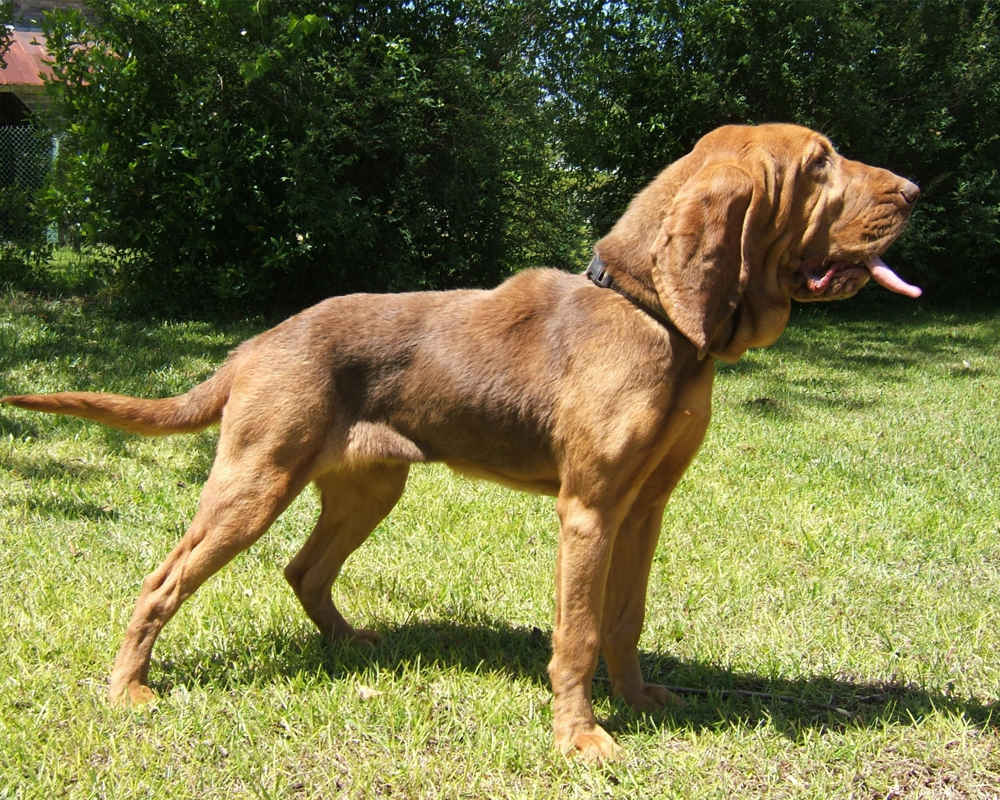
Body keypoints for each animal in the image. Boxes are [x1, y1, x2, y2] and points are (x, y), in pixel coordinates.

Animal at [1, 123, 920, 756]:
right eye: (820, 164)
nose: (914, 190)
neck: (653, 314)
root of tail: (252, 347)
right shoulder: (588, 510)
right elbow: (578, 633)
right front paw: (579, 737)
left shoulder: (645, 508)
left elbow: (624, 619)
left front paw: (640, 701)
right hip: (253, 483)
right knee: (163, 581)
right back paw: (129, 688)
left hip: (368, 487)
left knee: (304, 569)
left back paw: (348, 645)